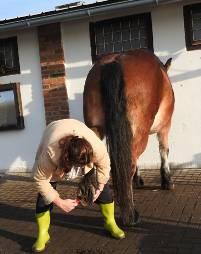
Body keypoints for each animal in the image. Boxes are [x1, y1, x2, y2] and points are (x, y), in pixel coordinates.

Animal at [83, 48, 174, 225]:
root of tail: (113, 62)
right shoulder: (165, 126)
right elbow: (164, 150)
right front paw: (167, 180)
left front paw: (138, 180)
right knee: (129, 163)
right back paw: (130, 215)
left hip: (95, 128)